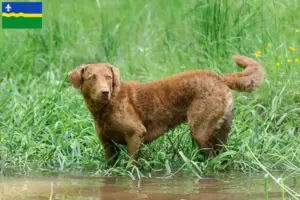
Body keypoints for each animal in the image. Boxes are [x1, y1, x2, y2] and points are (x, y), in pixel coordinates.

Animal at [69, 55, 264, 166]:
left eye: (108, 77)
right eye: (91, 78)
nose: (105, 92)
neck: (105, 108)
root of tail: (218, 77)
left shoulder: (135, 134)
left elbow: (131, 165)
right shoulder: (108, 144)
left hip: (200, 131)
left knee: (212, 158)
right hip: (221, 133)